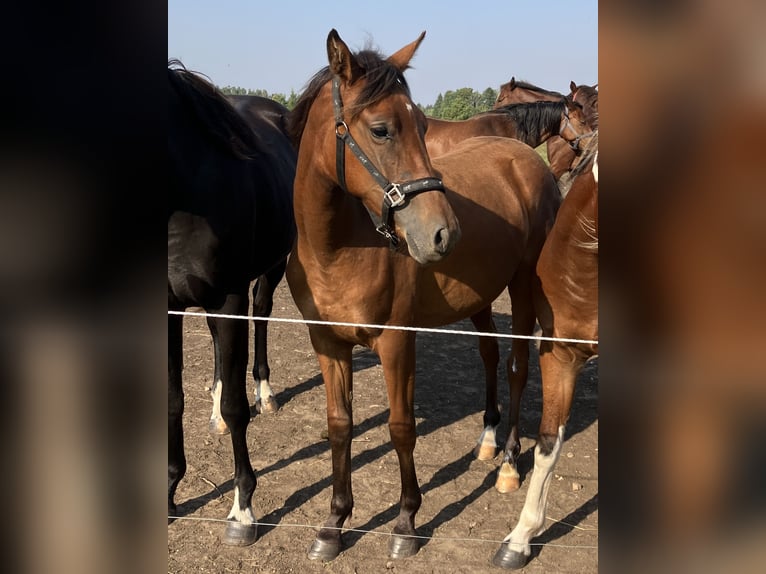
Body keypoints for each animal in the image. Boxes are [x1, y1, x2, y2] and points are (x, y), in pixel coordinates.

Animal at [166, 63, 296, 548]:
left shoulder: (230, 297)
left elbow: (239, 409)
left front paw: (242, 510)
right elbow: (173, 399)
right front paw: (169, 491)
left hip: (271, 268)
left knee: (262, 314)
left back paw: (266, 393)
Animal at [284, 30, 560, 564]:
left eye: (422, 124)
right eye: (381, 130)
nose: (442, 234)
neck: (337, 249)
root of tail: (522, 158)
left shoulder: (397, 341)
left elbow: (401, 427)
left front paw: (406, 522)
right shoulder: (327, 343)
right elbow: (340, 425)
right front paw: (333, 524)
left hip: (522, 287)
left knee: (517, 366)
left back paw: (509, 463)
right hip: (480, 298)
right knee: (490, 355)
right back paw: (487, 441)